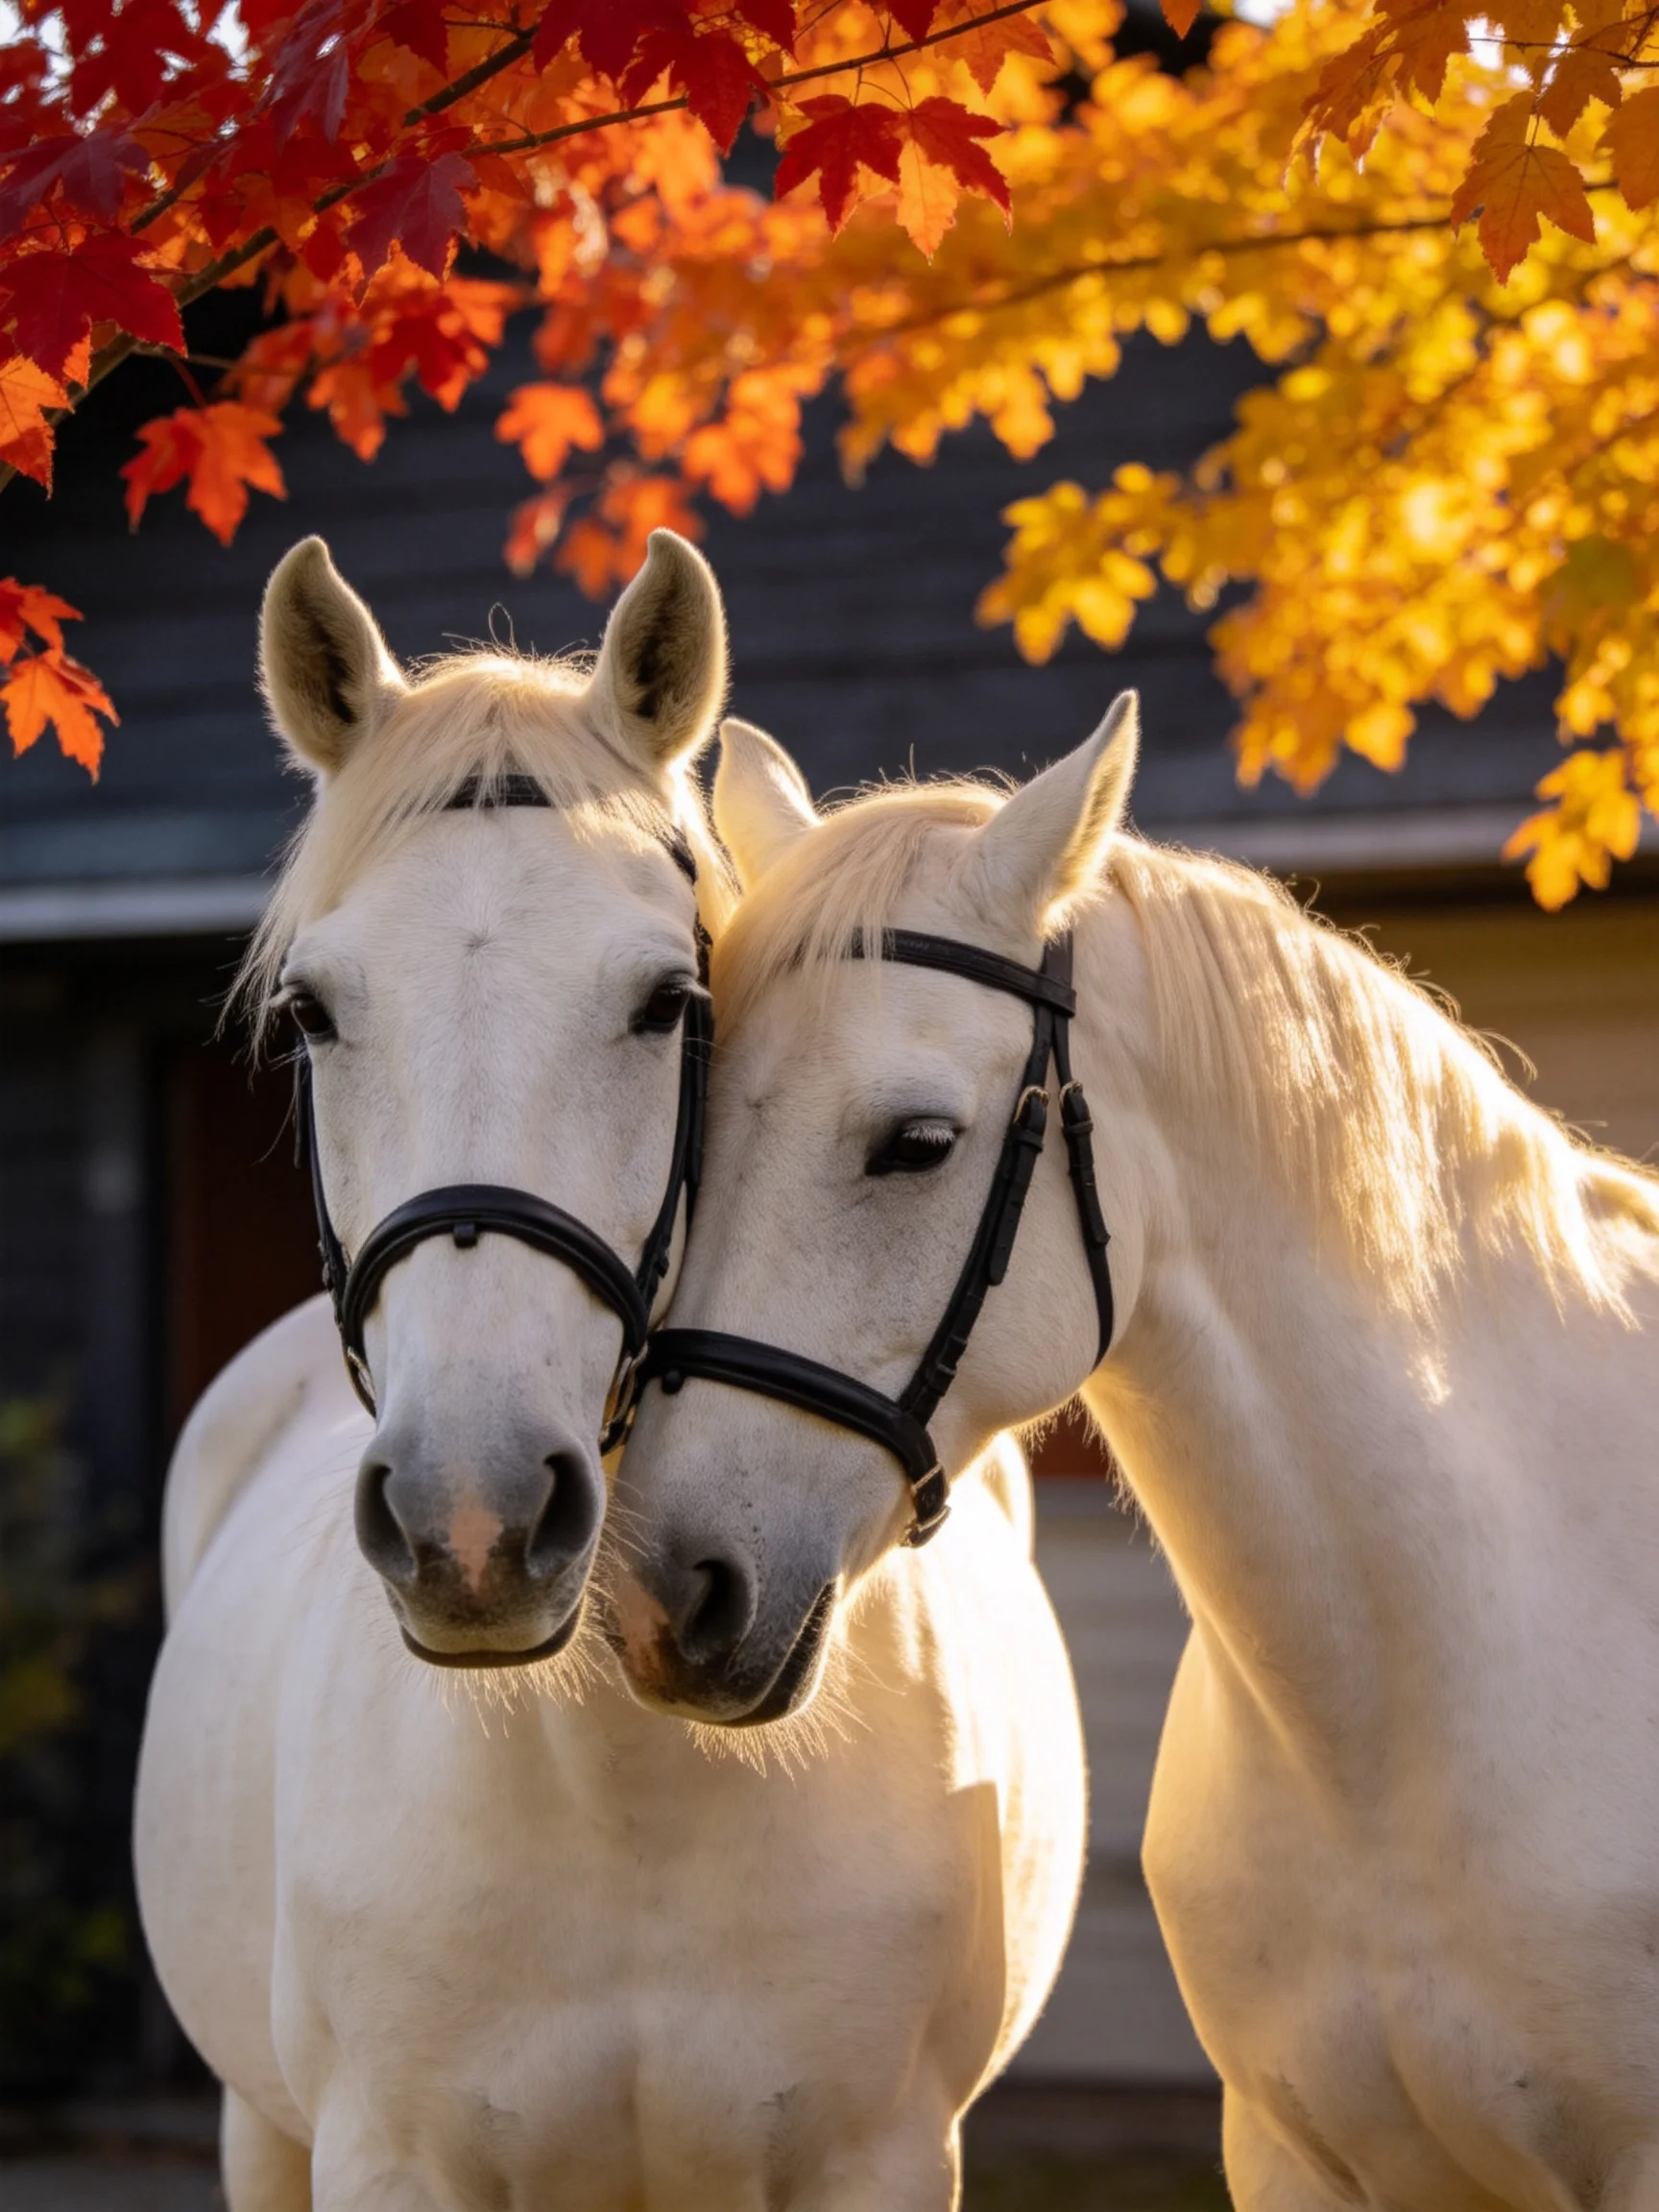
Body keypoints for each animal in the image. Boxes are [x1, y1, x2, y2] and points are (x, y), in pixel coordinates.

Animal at [135, 535, 1087, 2212]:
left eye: (667, 1003)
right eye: (316, 1011)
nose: (471, 1523)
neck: (628, 1784)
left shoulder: (881, 2160)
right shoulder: (382, 2160)